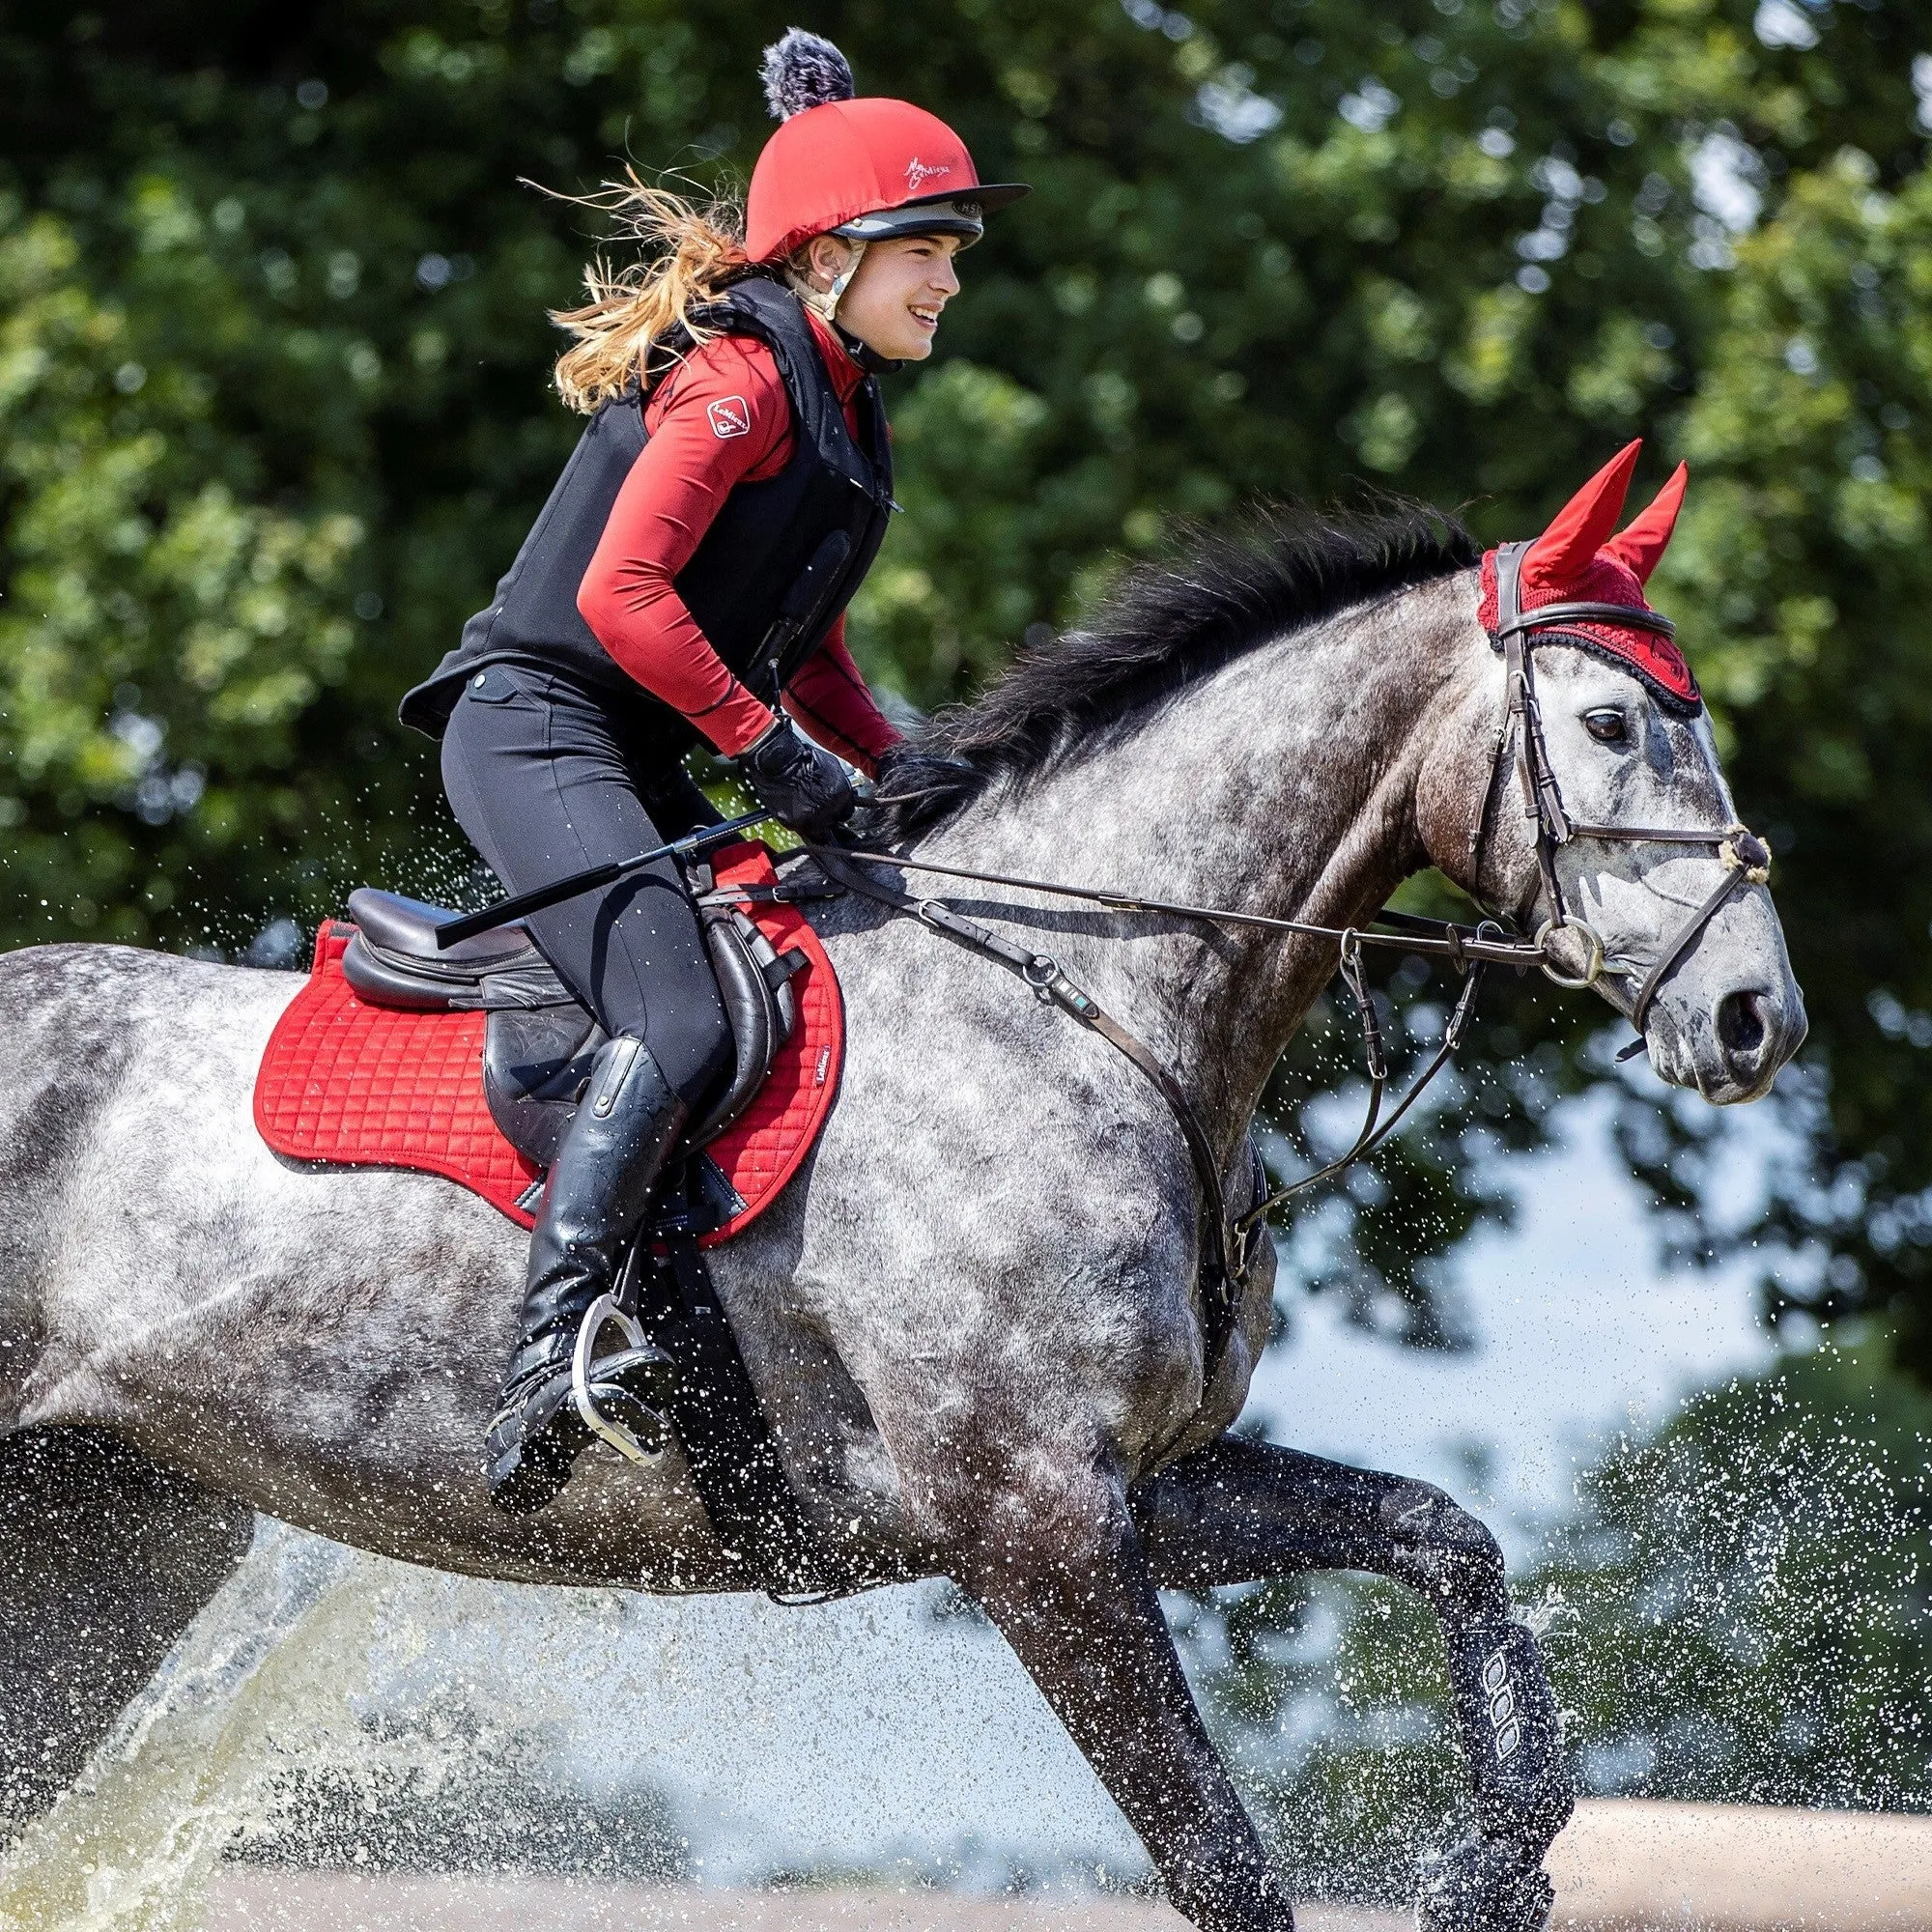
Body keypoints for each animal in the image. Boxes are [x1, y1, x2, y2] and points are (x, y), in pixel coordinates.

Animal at [3, 506, 1808, 1924]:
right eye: (1611, 724)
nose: (1752, 1019)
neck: (1090, 1004)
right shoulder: (1033, 1526)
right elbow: (1222, 1864)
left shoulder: (1141, 1485)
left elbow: (1449, 1541)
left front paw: (1491, 1864)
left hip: (109, 1542)